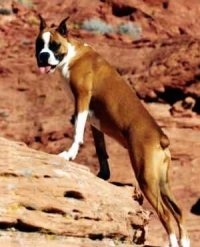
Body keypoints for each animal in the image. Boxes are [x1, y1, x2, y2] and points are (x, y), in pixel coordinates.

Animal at [35, 16, 190, 246]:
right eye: (39, 45)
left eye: (53, 45)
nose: (43, 56)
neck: (71, 54)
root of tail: (161, 137)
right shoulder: (94, 120)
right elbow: (100, 149)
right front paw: (103, 175)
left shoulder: (82, 99)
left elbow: (77, 133)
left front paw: (69, 154)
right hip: (161, 181)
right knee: (178, 211)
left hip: (146, 178)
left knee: (165, 214)